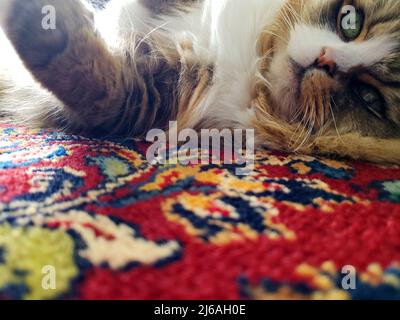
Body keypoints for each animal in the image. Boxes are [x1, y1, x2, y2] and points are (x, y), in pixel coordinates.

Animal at [0, 0, 400, 164]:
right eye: (350, 21)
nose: (325, 61)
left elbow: (82, 73)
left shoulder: (149, 94)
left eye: (369, 98)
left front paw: (36, 17)